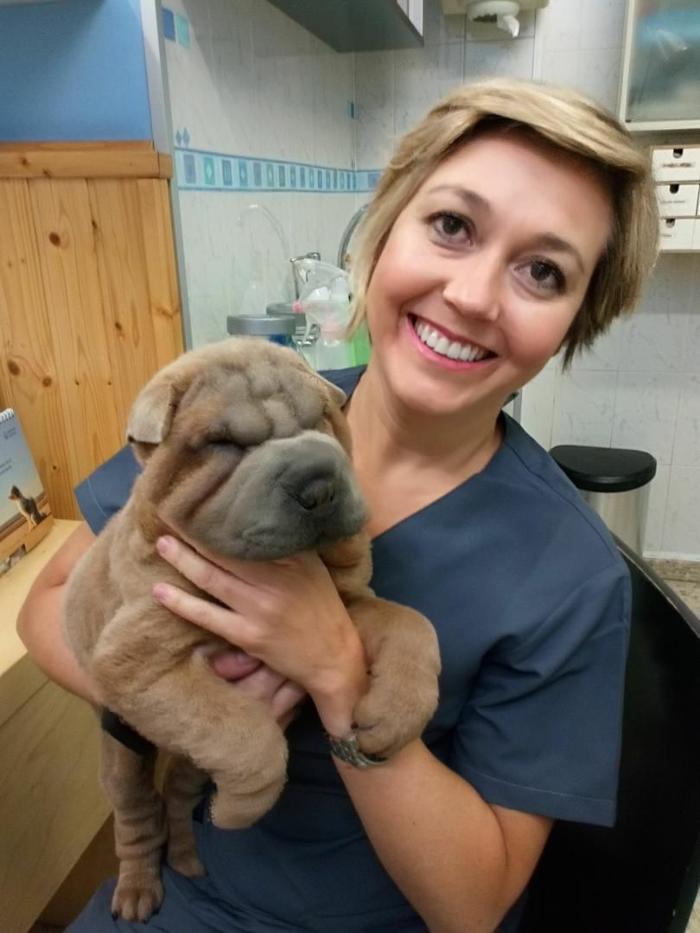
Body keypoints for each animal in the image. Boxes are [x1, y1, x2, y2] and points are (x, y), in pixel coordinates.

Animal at [63, 337, 441, 922]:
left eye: (321, 419)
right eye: (223, 444)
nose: (318, 486)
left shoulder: (349, 603)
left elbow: (410, 622)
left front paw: (397, 712)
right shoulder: (137, 663)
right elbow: (246, 736)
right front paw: (241, 811)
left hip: (185, 764)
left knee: (177, 795)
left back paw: (189, 857)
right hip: (122, 754)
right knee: (137, 811)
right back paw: (138, 889)